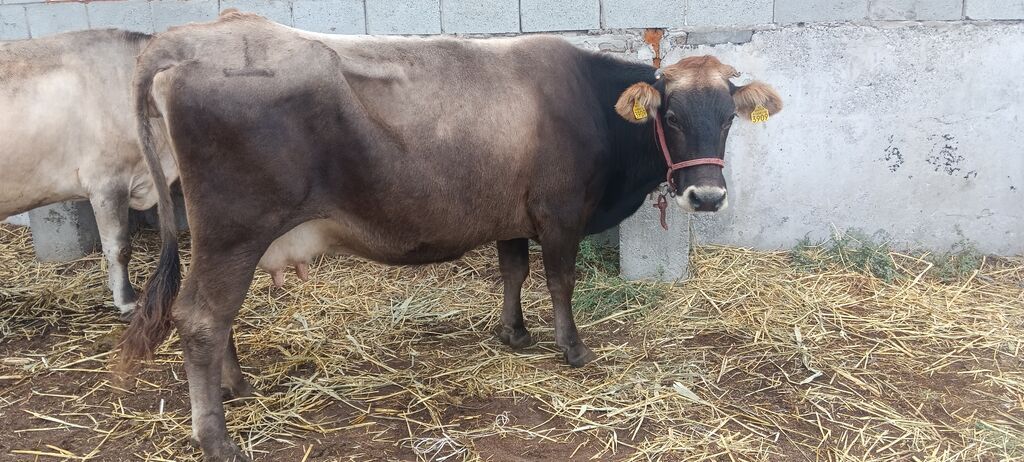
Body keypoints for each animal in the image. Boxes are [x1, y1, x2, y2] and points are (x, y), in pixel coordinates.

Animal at [119, 12, 781, 461]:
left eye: (727, 119)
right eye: (670, 115)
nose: (707, 197)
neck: (590, 102)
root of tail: (191, 37)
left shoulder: (513, 216)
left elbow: (513, 270)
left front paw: (513, 333)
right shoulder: (560, 213)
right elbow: (559, 281)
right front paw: (572, 348)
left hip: (226, 238)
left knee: (217, 314)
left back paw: (235, 387)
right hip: (234, 230)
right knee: (201, 316)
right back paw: (216, 437)